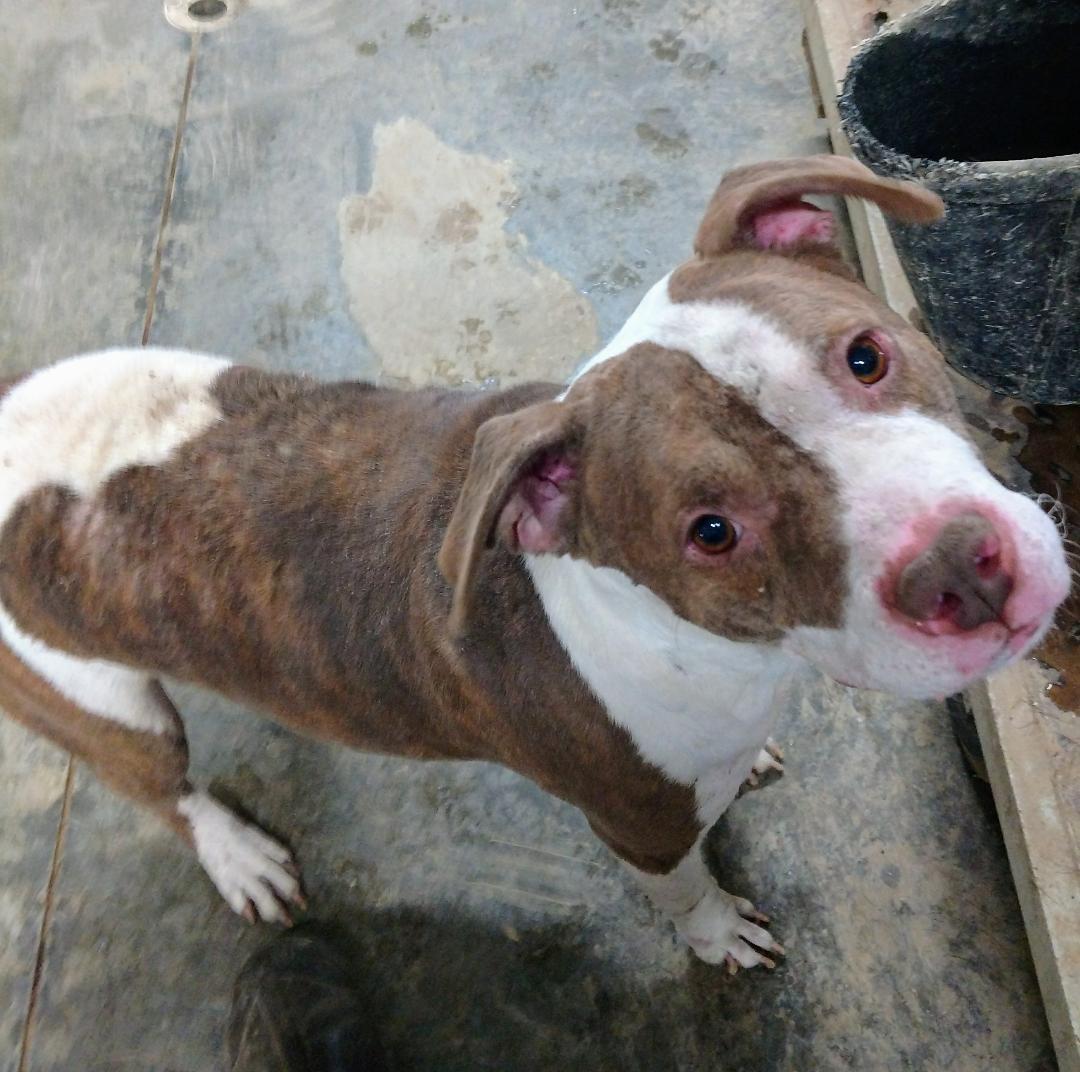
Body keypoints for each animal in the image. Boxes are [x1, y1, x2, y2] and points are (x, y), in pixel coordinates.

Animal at [0, 156, 1067, 971]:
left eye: (866, 356)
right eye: (711, 531)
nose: (962, 570)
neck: (718, 653)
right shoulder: (640, 830)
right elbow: (688, 892)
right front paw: (719, 934)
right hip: (101, 707)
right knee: (165, 788)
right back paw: (237, 856)